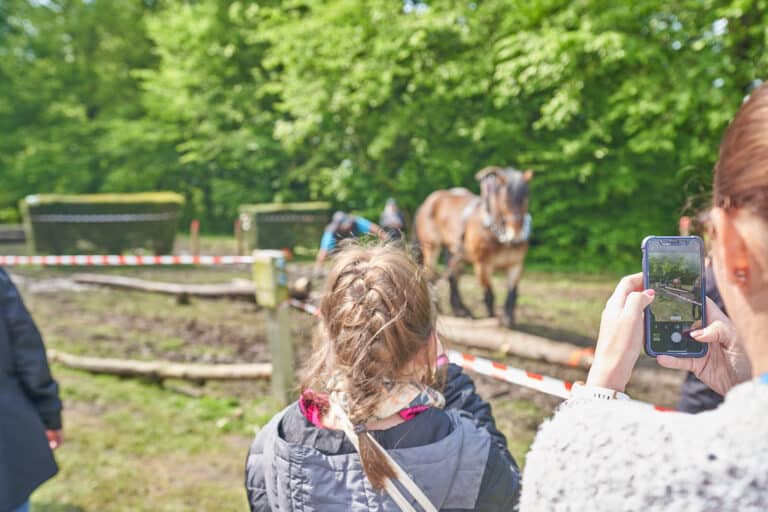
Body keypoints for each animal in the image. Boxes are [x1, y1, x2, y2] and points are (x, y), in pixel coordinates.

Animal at [414, 168, 536, 328]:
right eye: (505, 201)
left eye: (526, 200)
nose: (516, 237)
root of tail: (429, 200)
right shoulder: (482, 265)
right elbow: (489, 293)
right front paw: (492, 317)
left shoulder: (516, 265)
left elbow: (511, 294)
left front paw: (508, 319)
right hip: (431, 247)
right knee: (430, 274)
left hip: (455, 251)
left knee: (453, 278)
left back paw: (460, 310)